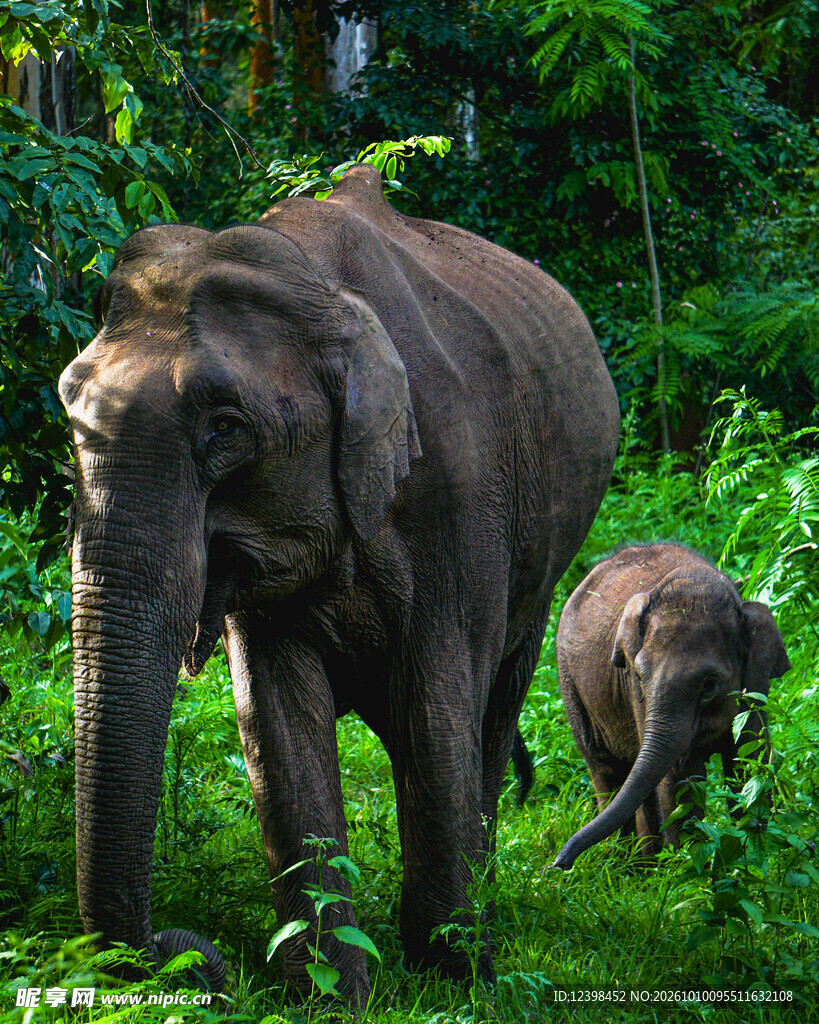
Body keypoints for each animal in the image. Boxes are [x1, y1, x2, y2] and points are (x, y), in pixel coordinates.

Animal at [58, 163, 619, 999]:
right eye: (68, 409)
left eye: (225, 428)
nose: (196, 955)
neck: (319, 288)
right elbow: (277, 723)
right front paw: (329, 995)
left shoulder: (459, 498)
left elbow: (436, 709)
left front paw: (451, 978)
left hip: (541, 563)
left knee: (489, 711)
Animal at [553, 542, 790, 870]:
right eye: (640, 676)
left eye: (709, 685)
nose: (560, 862)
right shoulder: (635, 693)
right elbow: (681, 781)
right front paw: (688, 871)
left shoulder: (755, 688)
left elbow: (748, 761)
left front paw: (755, 860)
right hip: (570, 686)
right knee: (606, 770)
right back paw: (628, 867)